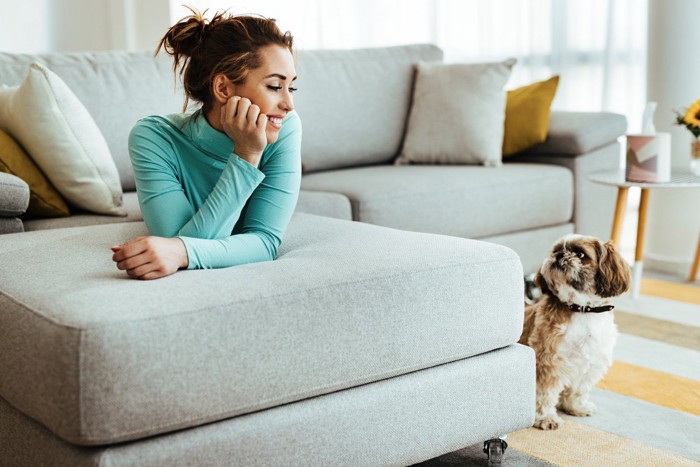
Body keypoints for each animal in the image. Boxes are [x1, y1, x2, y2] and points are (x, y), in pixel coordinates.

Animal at [516, 234, 632, 432]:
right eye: (555, 250)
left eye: (580, 254)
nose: (560, 255)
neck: (583, 309)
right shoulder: (548, 361)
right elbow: (544, 393)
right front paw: (545, 417)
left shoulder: (590, 361)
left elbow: (578, 389)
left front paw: (576, 407)